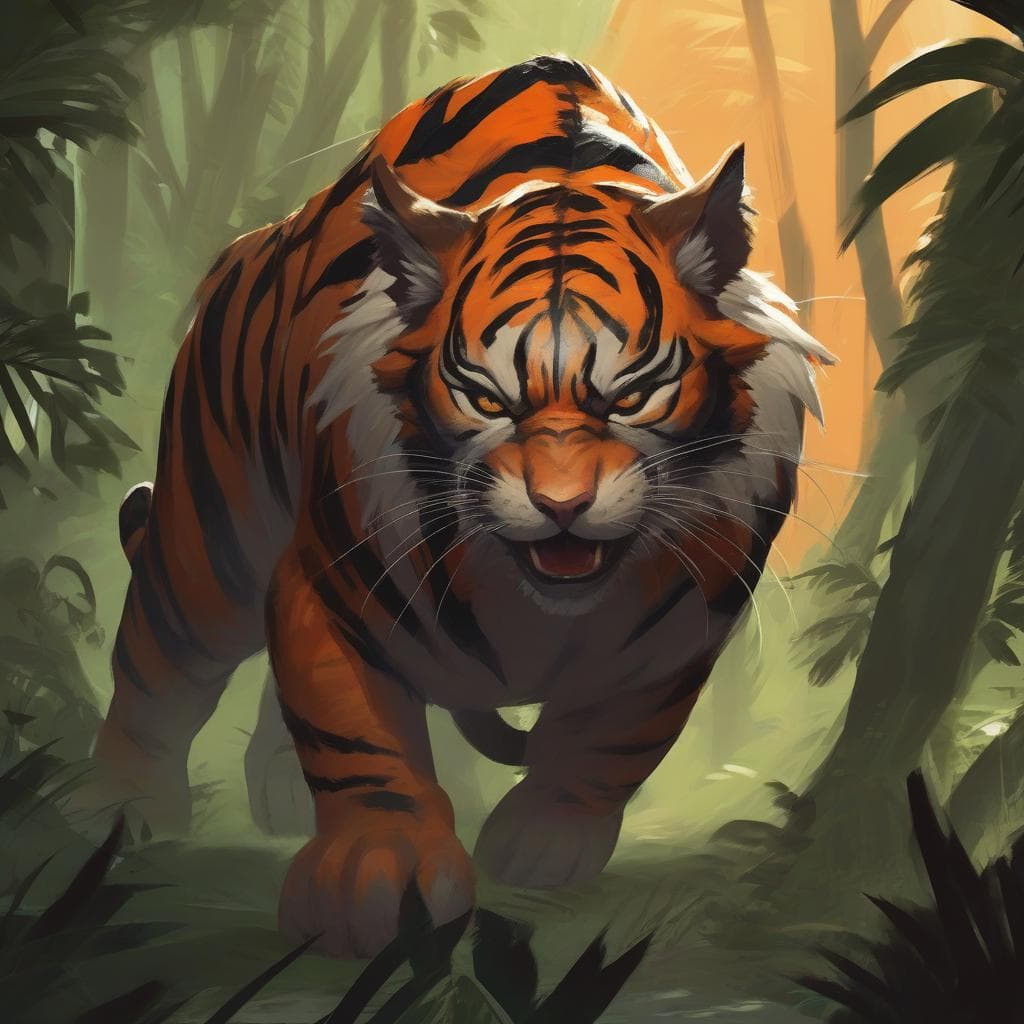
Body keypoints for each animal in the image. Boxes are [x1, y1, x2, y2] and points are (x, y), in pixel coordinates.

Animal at [93, 55, 835, 958]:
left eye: (631, 395)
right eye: (486, 399)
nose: (560, 505)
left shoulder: (689, 619)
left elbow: (617, 734)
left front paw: (546, 839)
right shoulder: (328, 580)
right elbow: (353, 729)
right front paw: (375, 872)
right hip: (211, 538)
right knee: (155, 662)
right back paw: (121, 811)